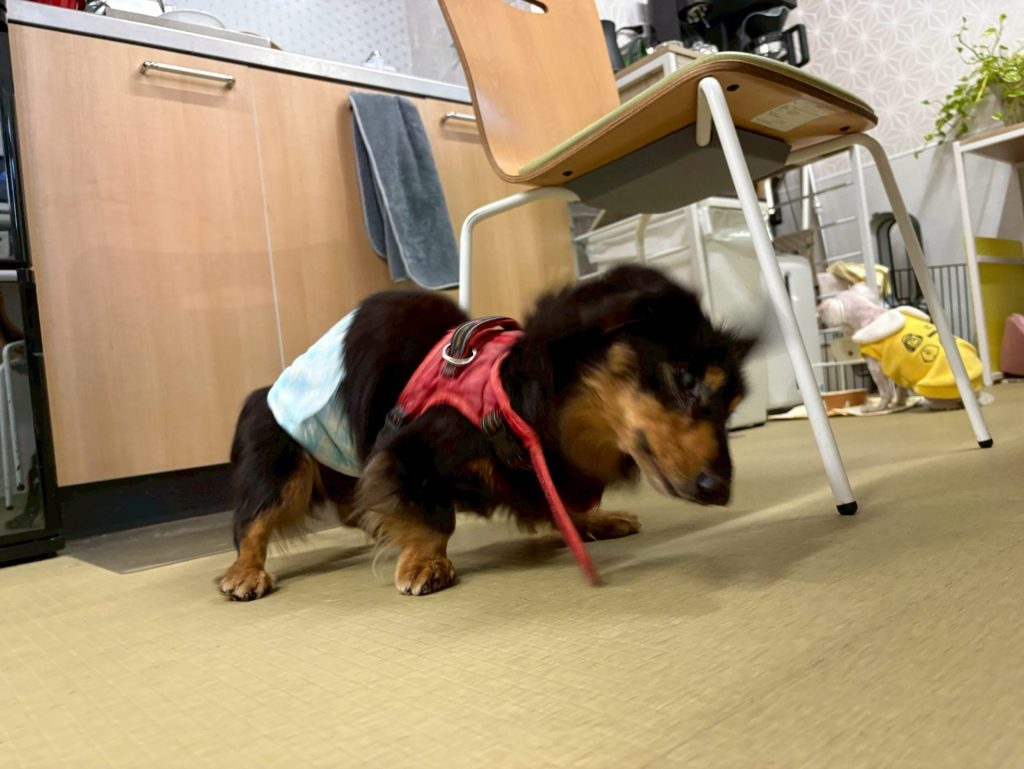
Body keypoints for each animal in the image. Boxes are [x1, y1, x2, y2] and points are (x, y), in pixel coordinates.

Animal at [218, 266, 752, 600]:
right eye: (685, 379)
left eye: (731, 409)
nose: (721, 491)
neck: (513, 401)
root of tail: (269, 387)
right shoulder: (406, 452)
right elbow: (435, 516)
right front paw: (425, 563)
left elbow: (560, 502)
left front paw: (593, 521)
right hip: (280, 467)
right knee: (252, 525)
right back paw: (244, 573)